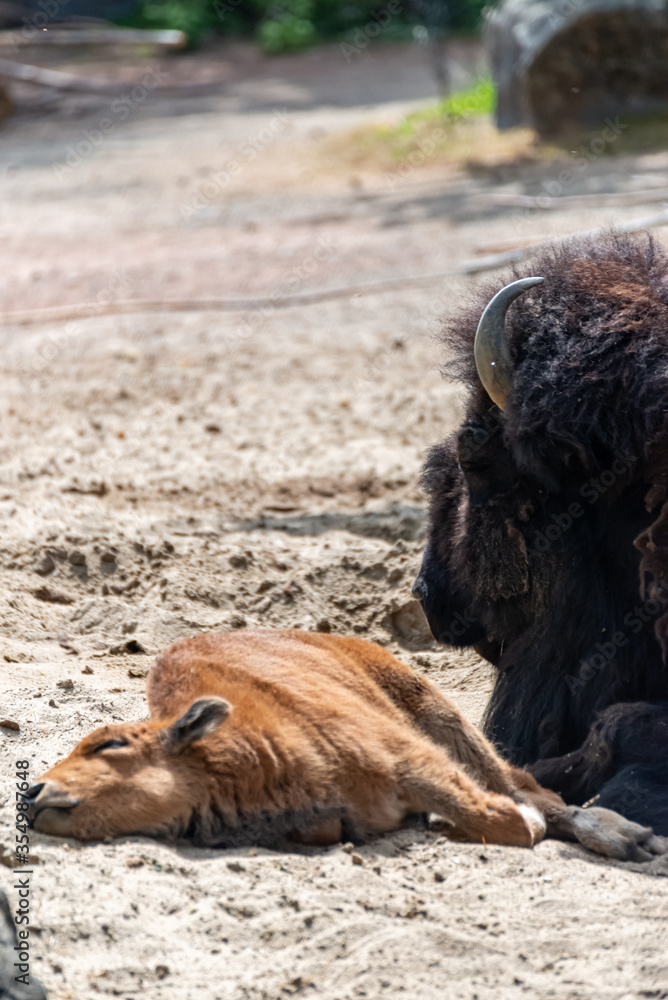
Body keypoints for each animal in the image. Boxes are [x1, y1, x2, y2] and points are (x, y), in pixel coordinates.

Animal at [26, 629, 667, 860]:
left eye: (109, 745)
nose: (33, 790)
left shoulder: (412, 761)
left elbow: (503, 815)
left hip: (438, 712)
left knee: (529, 787)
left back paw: (628, 838)